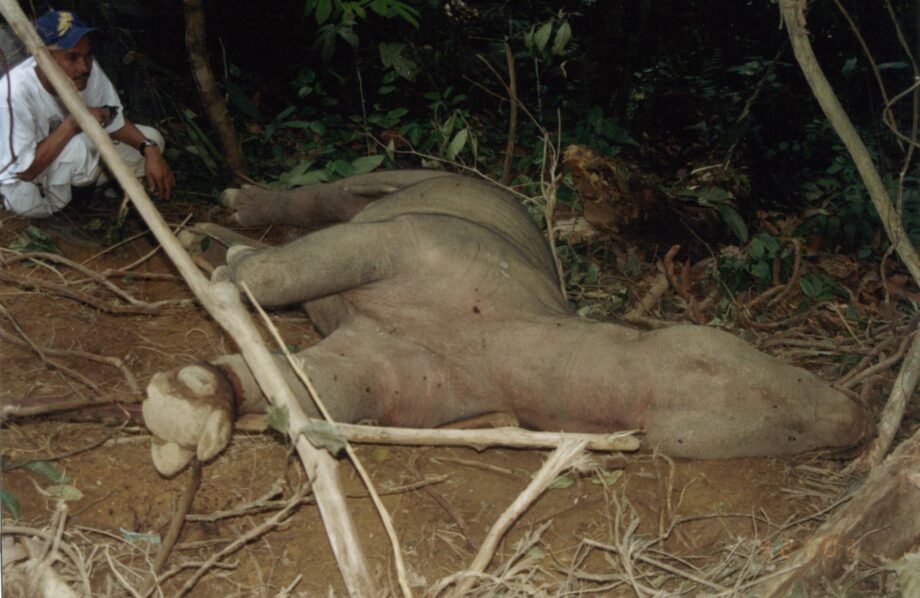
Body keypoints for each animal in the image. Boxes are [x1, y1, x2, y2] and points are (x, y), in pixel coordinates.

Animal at [142, 170, 871, 475]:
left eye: (784, 435)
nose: (854, 417)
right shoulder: (397, 243)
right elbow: (271, 277)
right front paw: (232, 275)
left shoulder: (388, 376)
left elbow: (296, 390)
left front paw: (199, 398)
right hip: (392, 181)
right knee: (319, 198)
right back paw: (233, 214)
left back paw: (209, 235)